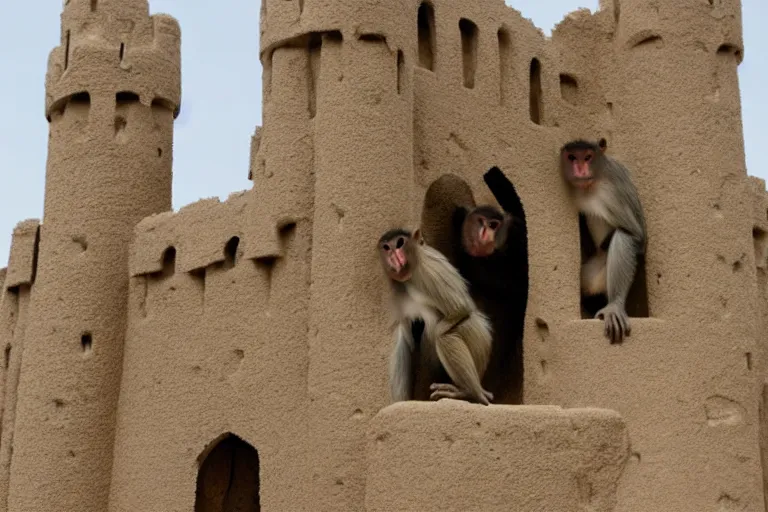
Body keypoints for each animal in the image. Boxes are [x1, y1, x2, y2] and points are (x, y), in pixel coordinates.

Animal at [376, 226, 492, 406]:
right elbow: (406, 328)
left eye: (400, 243)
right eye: (387, 248)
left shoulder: (427, 272)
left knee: (446, 335)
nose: (394, 258)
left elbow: (460, 308)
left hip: (478, 340)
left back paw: (470, 393)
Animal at [560, 139, 644, 344]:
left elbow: (636, 235)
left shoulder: (613, 188)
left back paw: (613, 306)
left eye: (587, 157)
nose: (580, 170)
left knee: (623, 236)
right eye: (572, 157)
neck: (590, 185)